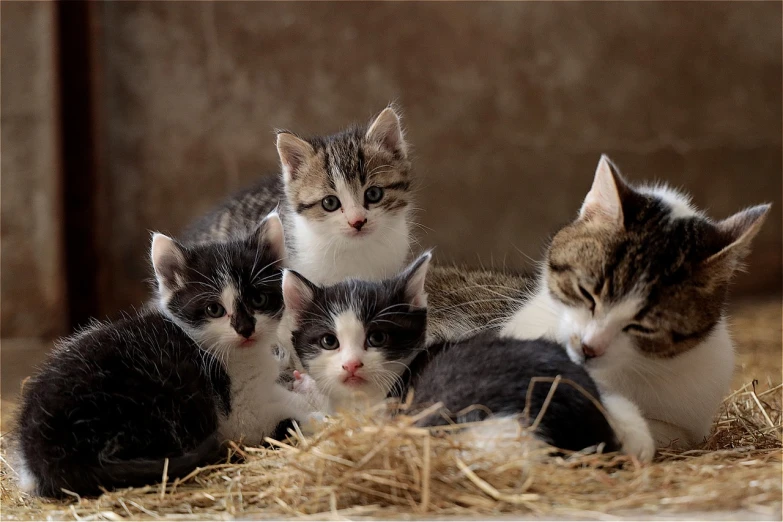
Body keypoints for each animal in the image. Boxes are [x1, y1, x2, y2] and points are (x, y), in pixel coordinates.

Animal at [12, 212, 316, 496]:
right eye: (214, 309)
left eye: (259, 299)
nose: (245, 329)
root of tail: (42, 454)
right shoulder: (240, 414)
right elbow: (286, 413)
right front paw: (315, 413)